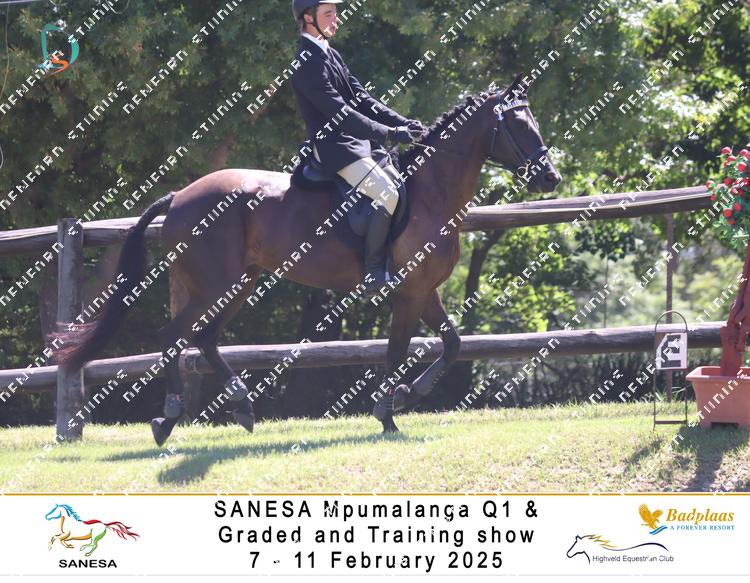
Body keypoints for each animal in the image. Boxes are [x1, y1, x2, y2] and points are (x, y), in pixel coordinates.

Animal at [54, 74, 561, 446]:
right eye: (518, 125)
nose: (550, 178)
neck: (429, 194)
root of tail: (180, 195)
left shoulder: (424, 289)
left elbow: (453, 343)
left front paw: (407, 395)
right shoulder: (408, 293)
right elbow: (397, 350)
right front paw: (388, 413)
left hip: (237, 283)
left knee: (203, 338)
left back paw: (241, 408)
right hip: (215, 284)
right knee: (175, 336)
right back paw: (169, 417)